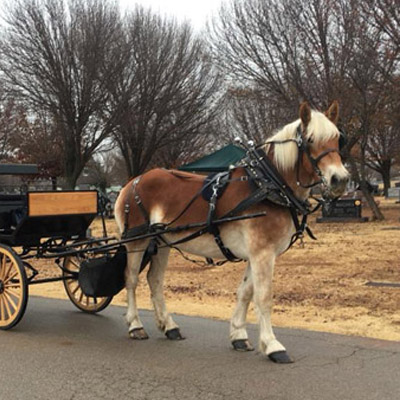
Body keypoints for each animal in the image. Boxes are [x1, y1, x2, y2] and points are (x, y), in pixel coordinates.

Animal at [114, 100, 348, 362]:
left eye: (338, 139)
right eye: (309, 140)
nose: (340, 179)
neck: (268, 184)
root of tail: (133, 182)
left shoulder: (257, 255)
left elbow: (245, 292)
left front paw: (238, 335)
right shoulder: (263, 253)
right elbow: (263, 297)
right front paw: (273, 345)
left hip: (162, 242)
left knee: (154, 280)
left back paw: (169, 326)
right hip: (136, 241)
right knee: (131, 279)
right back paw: (135, 325)